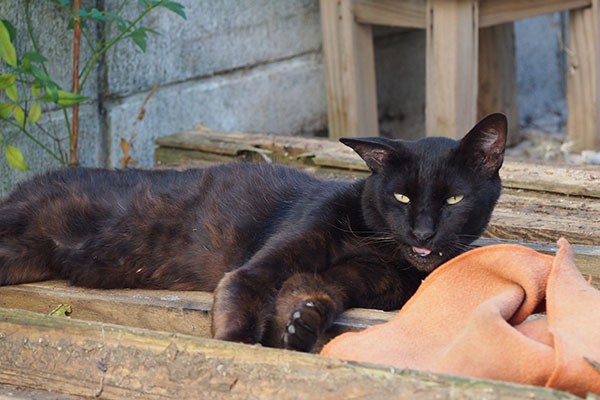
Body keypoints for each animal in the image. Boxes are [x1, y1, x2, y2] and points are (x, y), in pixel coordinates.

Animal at [0, 112, 506, 350]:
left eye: (454, 201)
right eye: (401, 197)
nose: (423, 232)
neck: (375, 243)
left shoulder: (354, 281)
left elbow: (311, 292)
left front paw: (301, 326)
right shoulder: (260, 267)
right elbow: (245, 296)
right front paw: (240, 350)